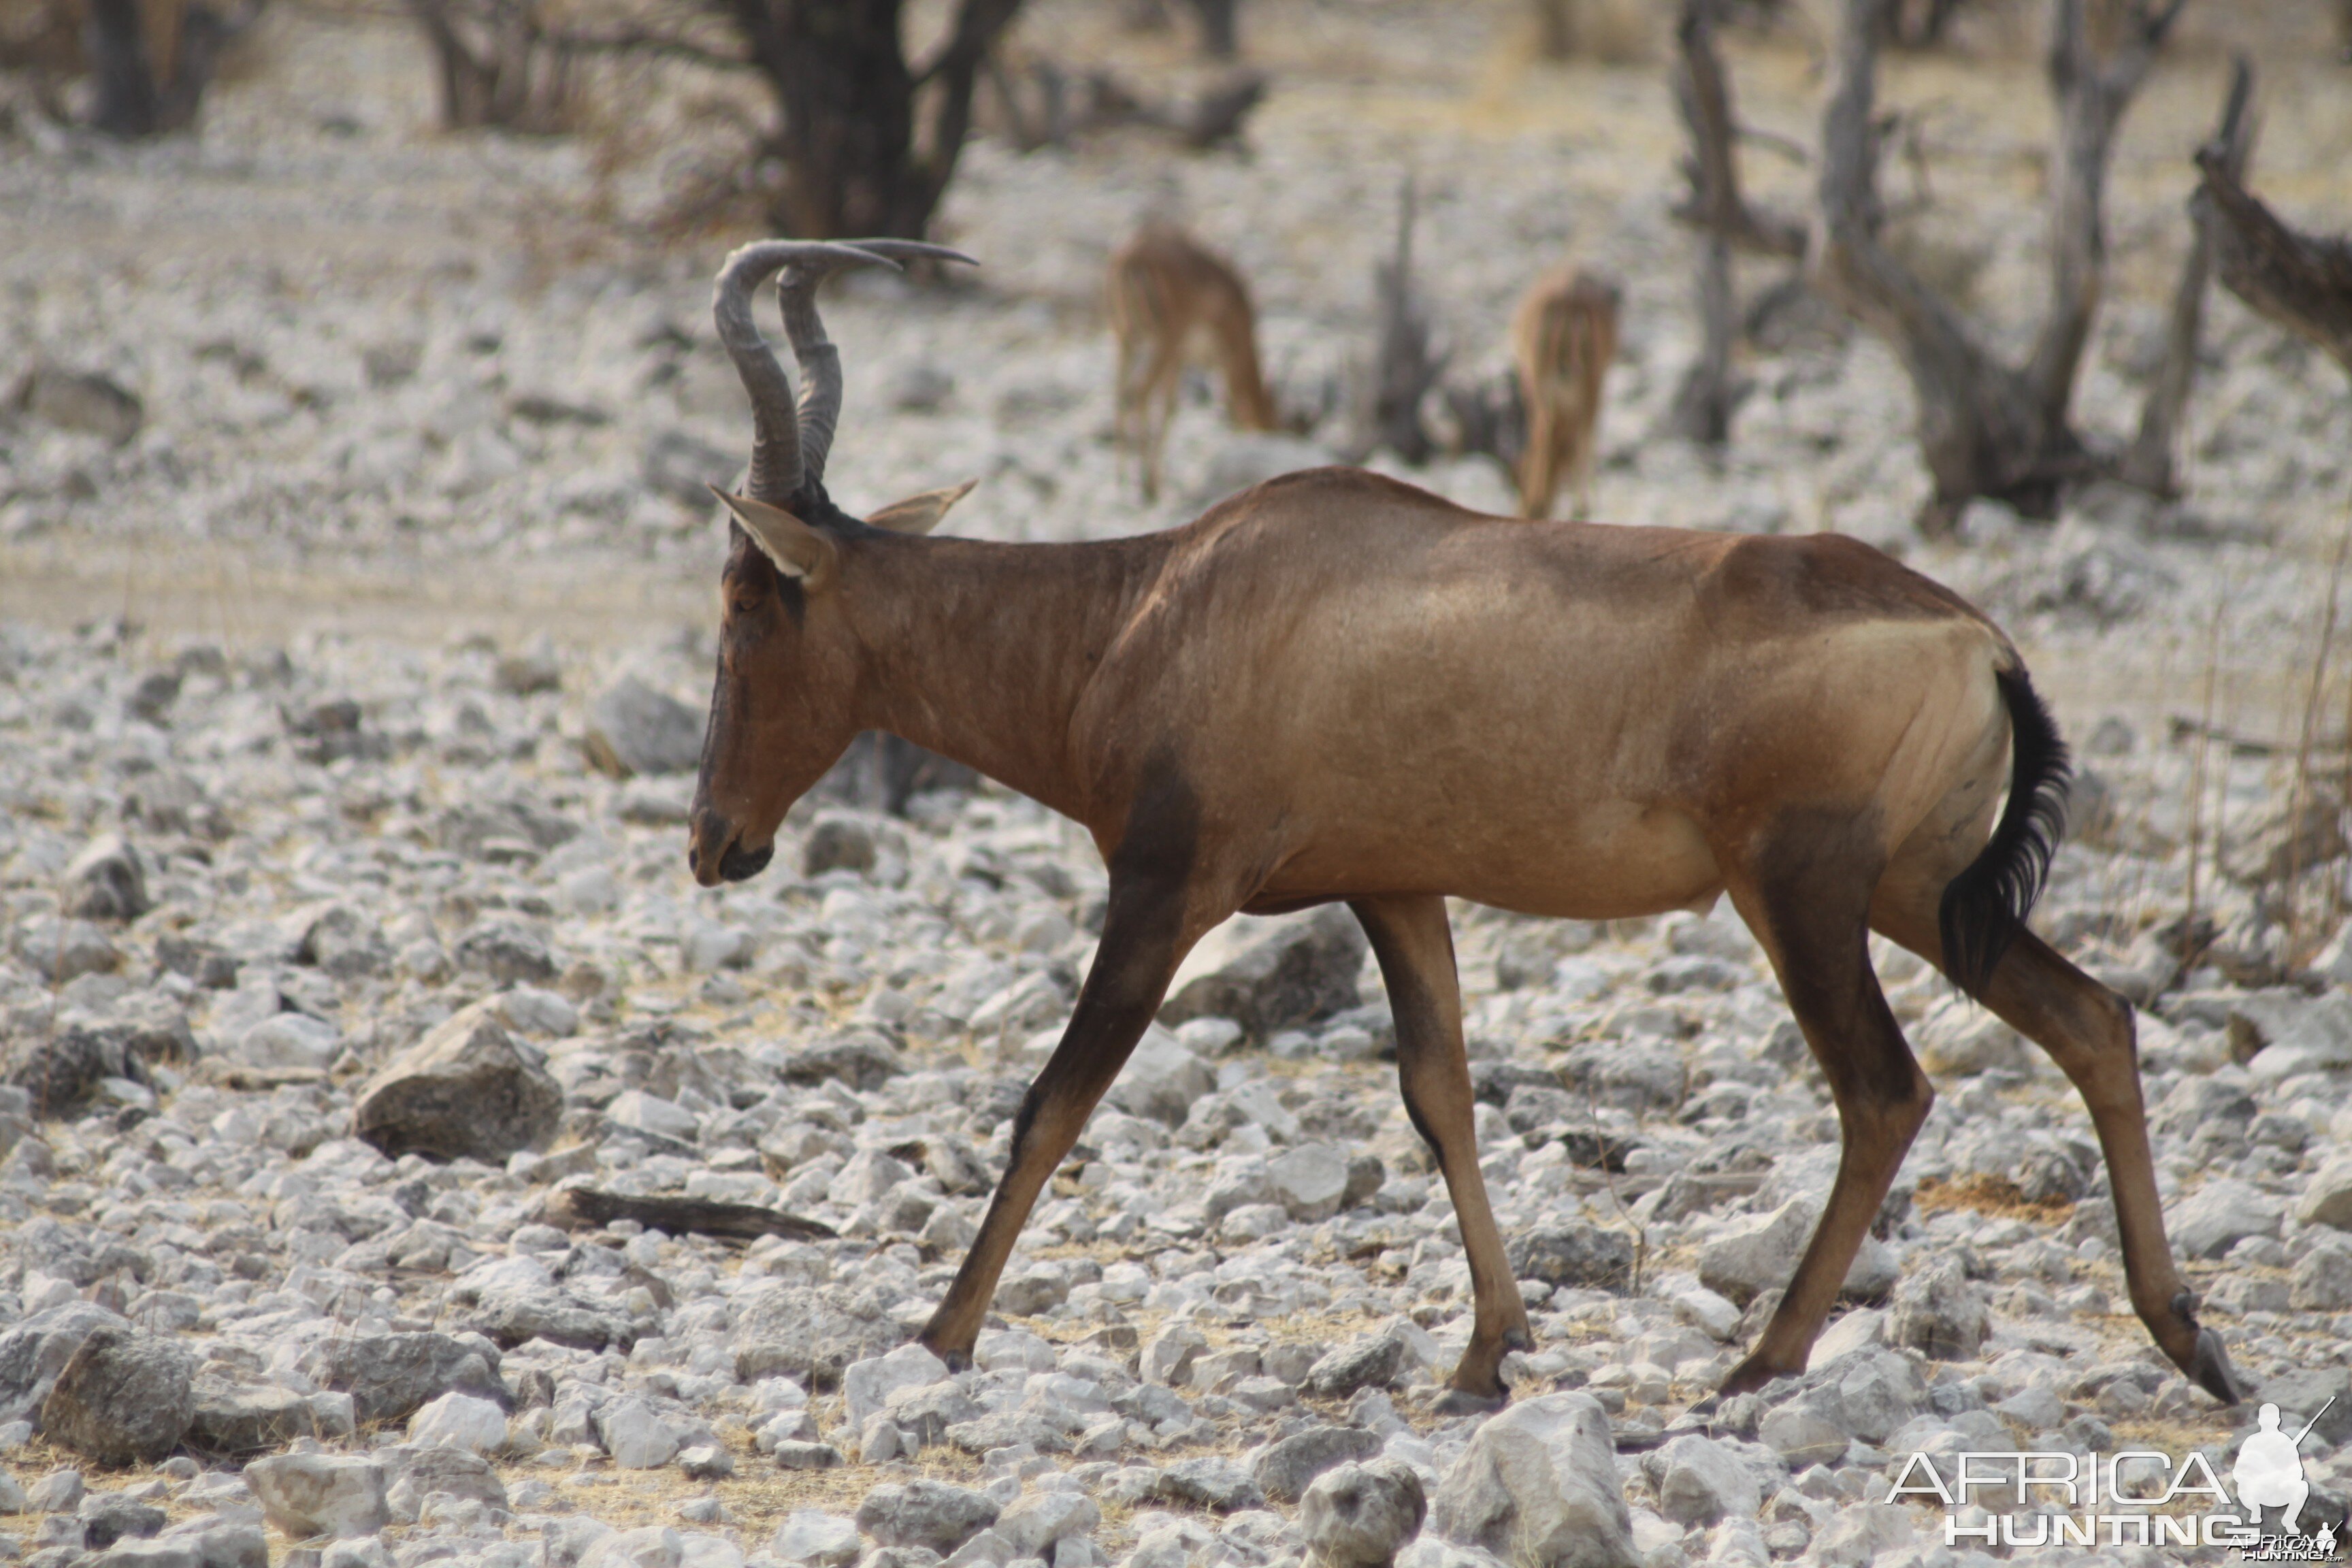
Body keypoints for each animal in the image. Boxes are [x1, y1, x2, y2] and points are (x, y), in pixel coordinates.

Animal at [1105, 220, 1279, 500]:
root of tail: (1132, 259)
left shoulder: (1182, 359)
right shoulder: (1215, 356)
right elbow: (1176, 407)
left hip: (1126, 339)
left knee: (1120, 395)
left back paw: (1121, 480)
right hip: (1163, 341)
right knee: (1139, 394)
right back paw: (1147, 485)